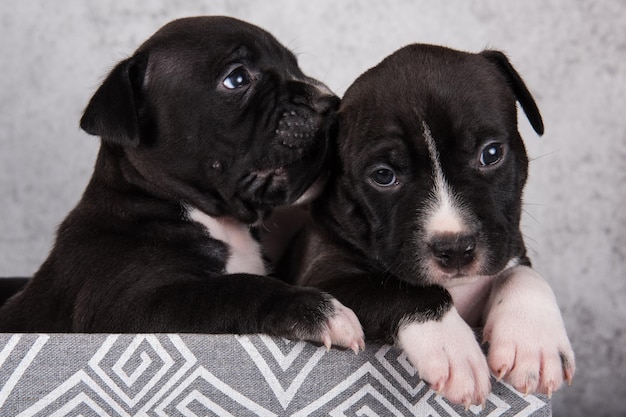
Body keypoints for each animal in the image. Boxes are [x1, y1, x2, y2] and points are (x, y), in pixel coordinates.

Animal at [0, 15, 364, 352]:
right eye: (237, 78)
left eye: (295, 66)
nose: (330, 102)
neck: (220, 222)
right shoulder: (129, 307)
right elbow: (233, 287)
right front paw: (318, 310)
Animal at [290, 45, 572, 406]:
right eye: (383, 175)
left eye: (491, 153)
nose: (455, 249)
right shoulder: (325, 277)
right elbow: (407, 289)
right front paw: (452, 348)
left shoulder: (508, 246)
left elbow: (522, 273)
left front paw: (533, 340)